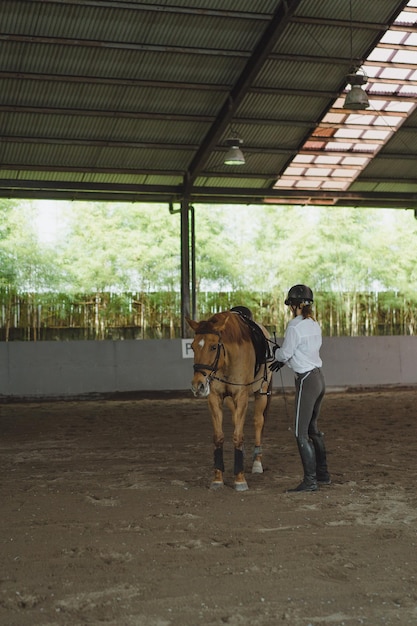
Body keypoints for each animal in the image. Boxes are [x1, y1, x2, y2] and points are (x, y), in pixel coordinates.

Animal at [186, 310, 272, 490]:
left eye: (213, 347)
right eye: (193, 347)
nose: (198, 385)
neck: (227, 359)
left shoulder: (241, 395)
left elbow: (238, 436)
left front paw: (240, 479)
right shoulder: (214, 397)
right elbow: (219, 437)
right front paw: (217, 478)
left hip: (262, 392)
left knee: (258, 422)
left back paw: (257, 463)